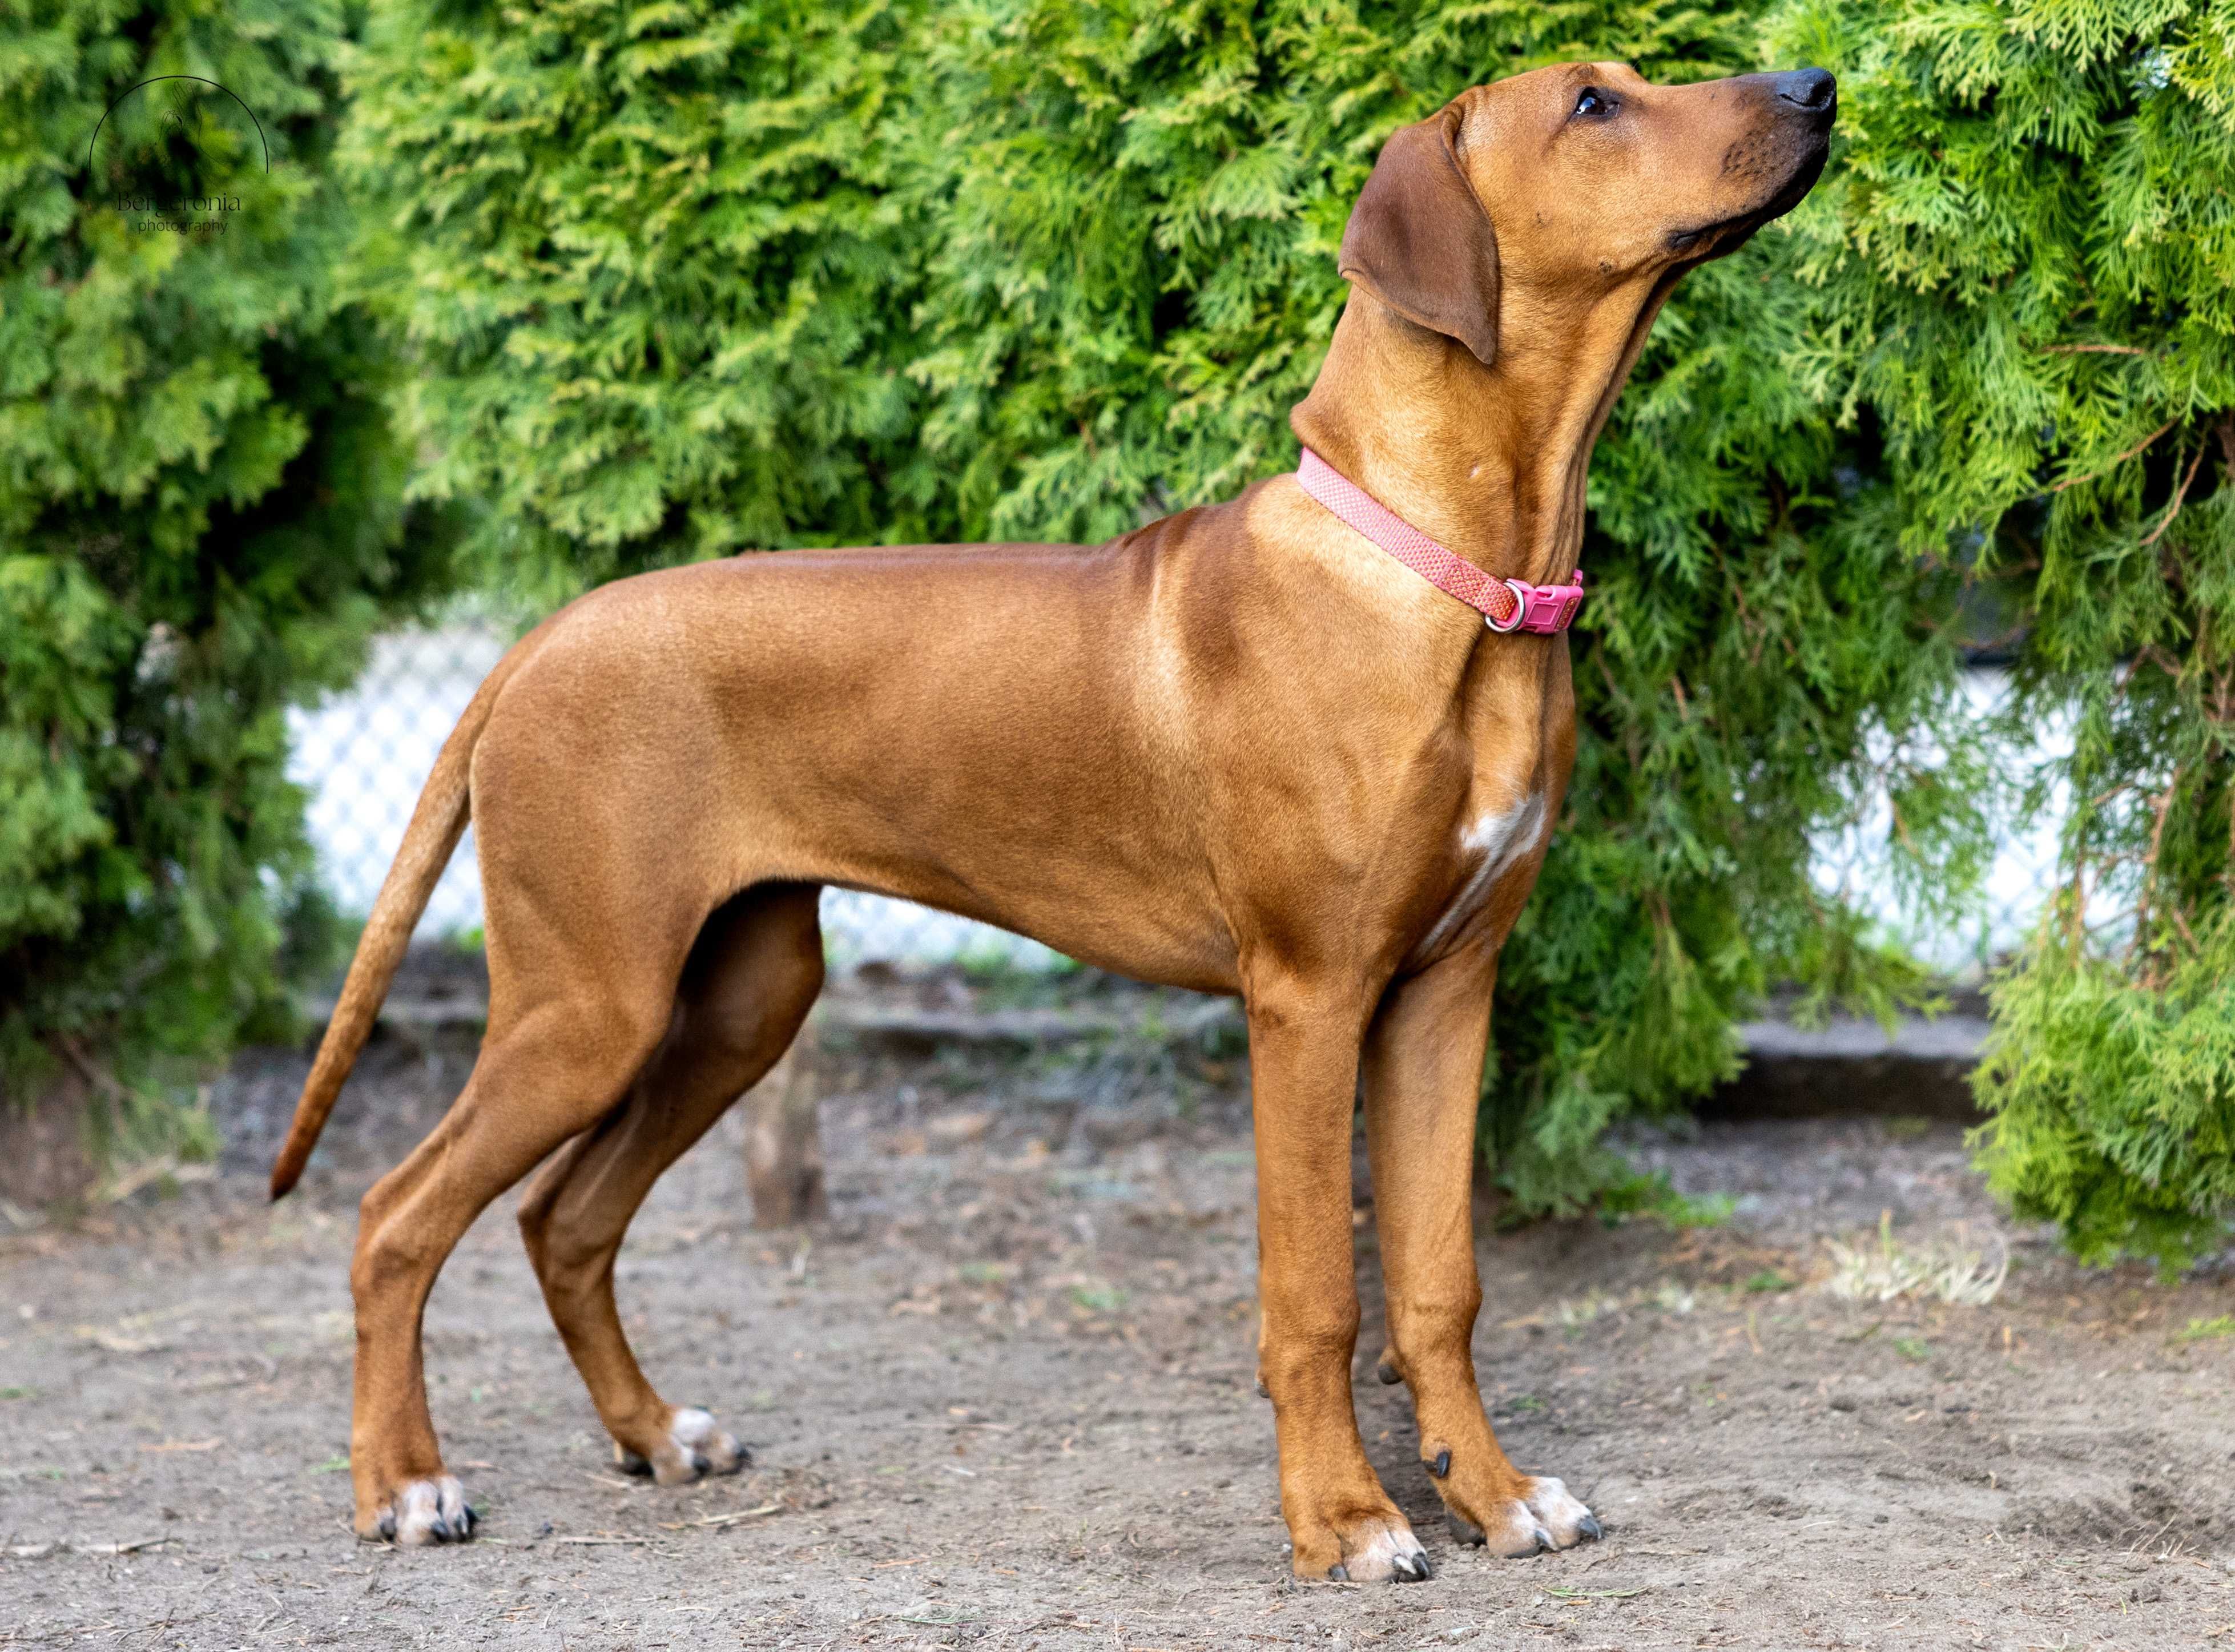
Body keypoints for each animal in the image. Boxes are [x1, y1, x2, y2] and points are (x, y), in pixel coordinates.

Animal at [270, 58, 1833, 1582]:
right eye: (1592, 105)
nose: (1816, 84)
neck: (1454, 576)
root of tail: (541, 636)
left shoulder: (1447, 988)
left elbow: (1440, 1281)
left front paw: (1493, 1495)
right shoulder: (1309, 997)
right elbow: (1315, 1296)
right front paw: (1343, 1521)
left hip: (738, 998)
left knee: (565, 1215)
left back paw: (653, 1432)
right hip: (589, 1002)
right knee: (392, 1217)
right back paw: (405, 1485)